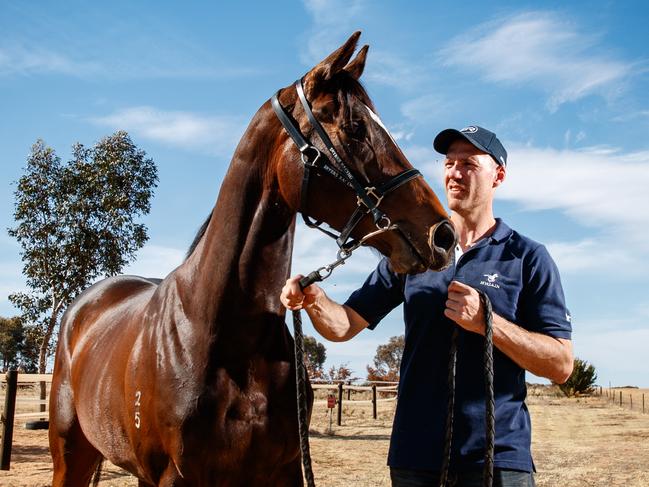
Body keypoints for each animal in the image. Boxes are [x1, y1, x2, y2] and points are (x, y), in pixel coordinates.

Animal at [48, 32, 456, 486]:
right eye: (354, 127)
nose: (443, 234)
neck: (225, 334)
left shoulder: (284, 471)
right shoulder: (177, 476)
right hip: (72, 456)